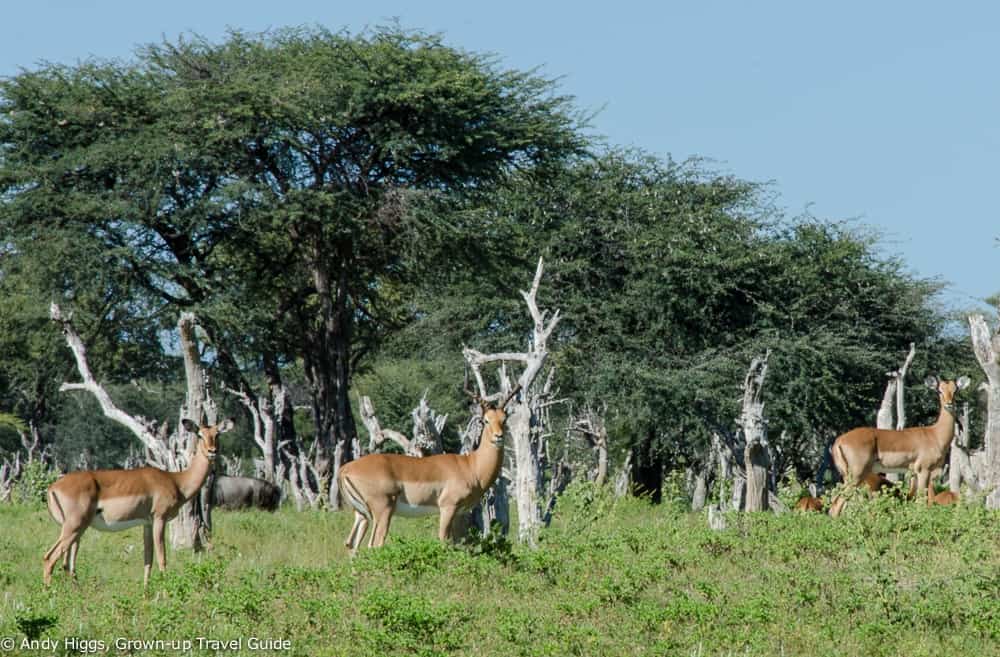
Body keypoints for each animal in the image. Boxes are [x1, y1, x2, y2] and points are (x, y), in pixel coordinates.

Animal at [42, 418, 233, 586]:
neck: (176, 481)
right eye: (200, 434)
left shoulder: (147, 524)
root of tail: (53, 487)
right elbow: (162, 559)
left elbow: (148, 560)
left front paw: (146, 593)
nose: (212, 451)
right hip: (74, 527)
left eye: (217, 434)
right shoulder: (159, 519)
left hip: (76, 530)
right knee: (49, 557)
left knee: (65, 563)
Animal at [338, 387, 518, 552]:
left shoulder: (458, 514)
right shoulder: (448, 507)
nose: (499, 437)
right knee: (374, 545)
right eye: (486, 420)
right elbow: (444, 541)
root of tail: (345, 469)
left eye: (504, 419)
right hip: (383, 511)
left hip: (361, 515)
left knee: (351, 545)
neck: (470, 466)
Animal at [829, 375, 968, 517]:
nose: (949, 404)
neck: (934, 434)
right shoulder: (923, 470)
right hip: (857, 475)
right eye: (939, 390)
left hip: (848, 476)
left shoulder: (914, 473)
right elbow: (921, 502)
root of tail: (839, 441)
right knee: (837, 504)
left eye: (955, 390)